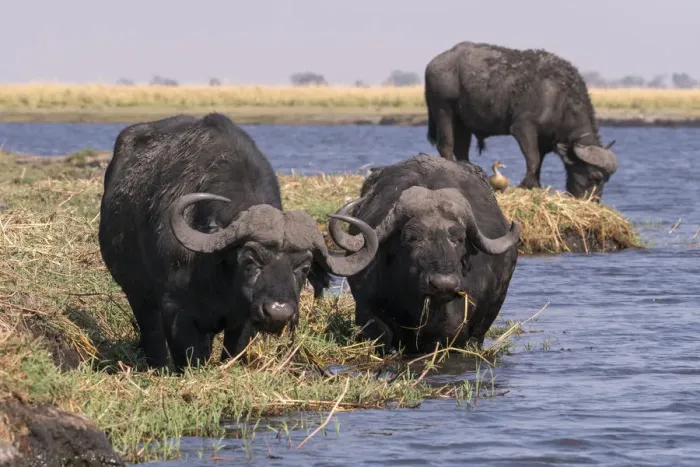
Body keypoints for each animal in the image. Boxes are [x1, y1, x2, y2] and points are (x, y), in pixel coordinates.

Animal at [98, 113, 378, 371]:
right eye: (250, 260)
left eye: (304, 267)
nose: (278, 313)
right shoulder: (176, 311)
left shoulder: (244, 320)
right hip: (138, 294)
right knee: (151, 333)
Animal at [424, 41, 618, 200]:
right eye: (595, 177)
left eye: (607, 180)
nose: (594, 200)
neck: (560, 99)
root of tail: (434, 63)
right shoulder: (523, 128)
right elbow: (533, 159)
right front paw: (525, 184)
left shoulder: (545, 141)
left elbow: (539, 162)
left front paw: (536, 186)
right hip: (443, 110)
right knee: (446, 145)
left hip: (462, 122)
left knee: (461, 149)